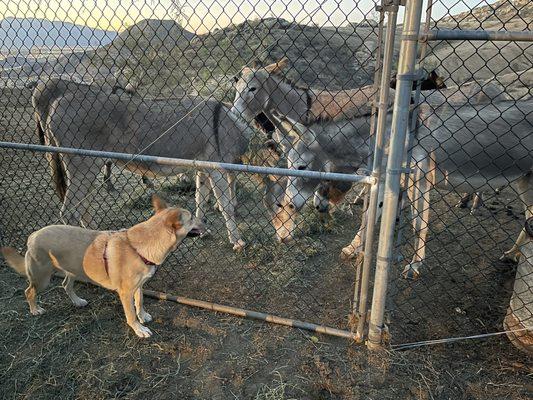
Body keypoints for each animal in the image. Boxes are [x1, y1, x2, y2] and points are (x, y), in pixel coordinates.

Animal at [0, 195, 203, 340]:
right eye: (192, 217)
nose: (206, 220)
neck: (140, 246)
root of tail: (33, 235)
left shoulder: (139, 286)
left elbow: (140, 302)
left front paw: (143, 315)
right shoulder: (125, 292)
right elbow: (131, 314)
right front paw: (139, 328)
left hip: (73, 270)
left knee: (65, 285)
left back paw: (77, 301)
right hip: (42, 278)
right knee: (29, 291)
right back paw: (35, 309)